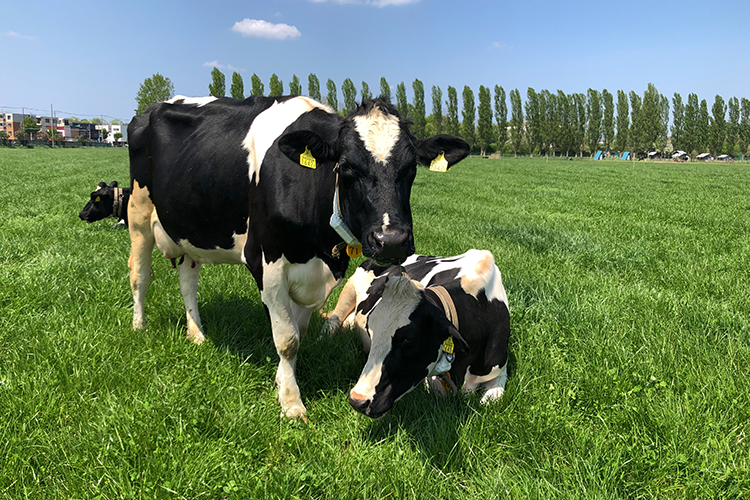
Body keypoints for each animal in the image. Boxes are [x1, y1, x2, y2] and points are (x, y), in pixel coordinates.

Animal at [324, 250, 512, 418]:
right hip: (350, 286)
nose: (357, 400)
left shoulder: (500, 371)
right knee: (332, 321)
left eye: (407, 340)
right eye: (370, 331)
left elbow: (491, 400)